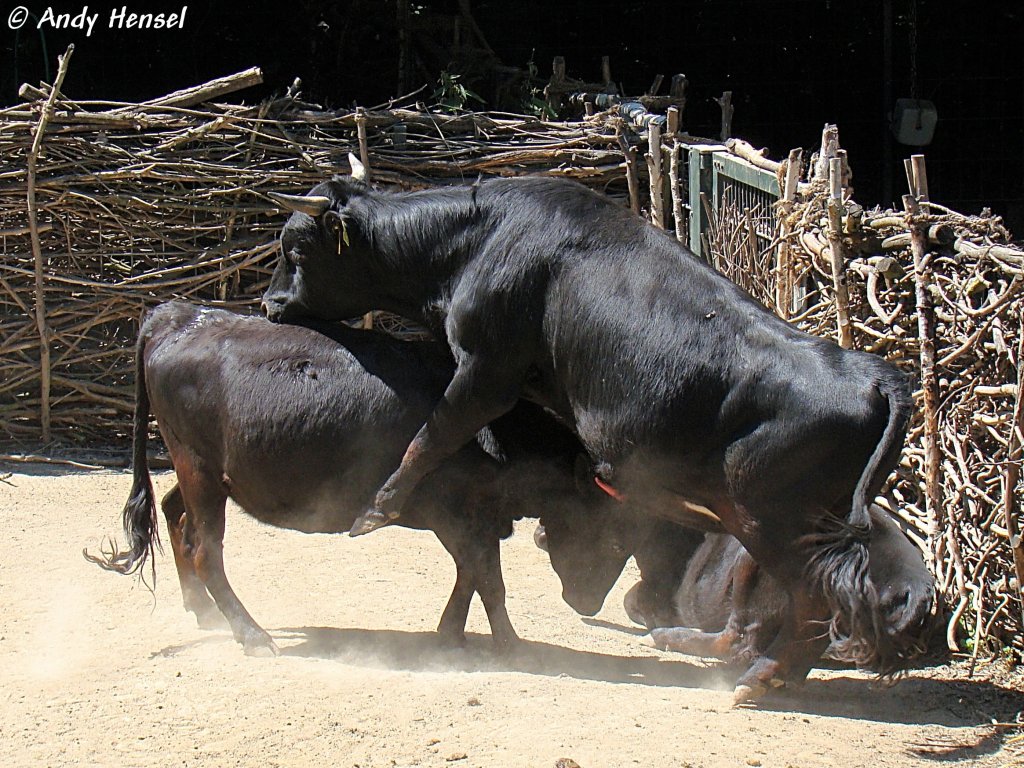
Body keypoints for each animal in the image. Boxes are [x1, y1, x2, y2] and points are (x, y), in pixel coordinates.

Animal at [88, 301, 634, 655]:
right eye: (612, 540)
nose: (587, 604)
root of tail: (176, 315)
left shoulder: (476, 519)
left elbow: (472, 574)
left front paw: (450, 634)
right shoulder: (455, 515)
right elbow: (487, 578)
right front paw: (510, 643)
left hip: (203, 473)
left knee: (176, 517)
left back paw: (202, 611)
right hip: (199, 469)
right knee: (205, 549)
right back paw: (252, 634)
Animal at [260, 159, 925, 700]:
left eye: (297, 249)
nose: (269, 304)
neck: (479, 239)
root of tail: (867, 372)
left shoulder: (486, 369)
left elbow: (433, 432)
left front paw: (379, 507)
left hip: (775, 524)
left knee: (809, 606)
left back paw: (760, 679)